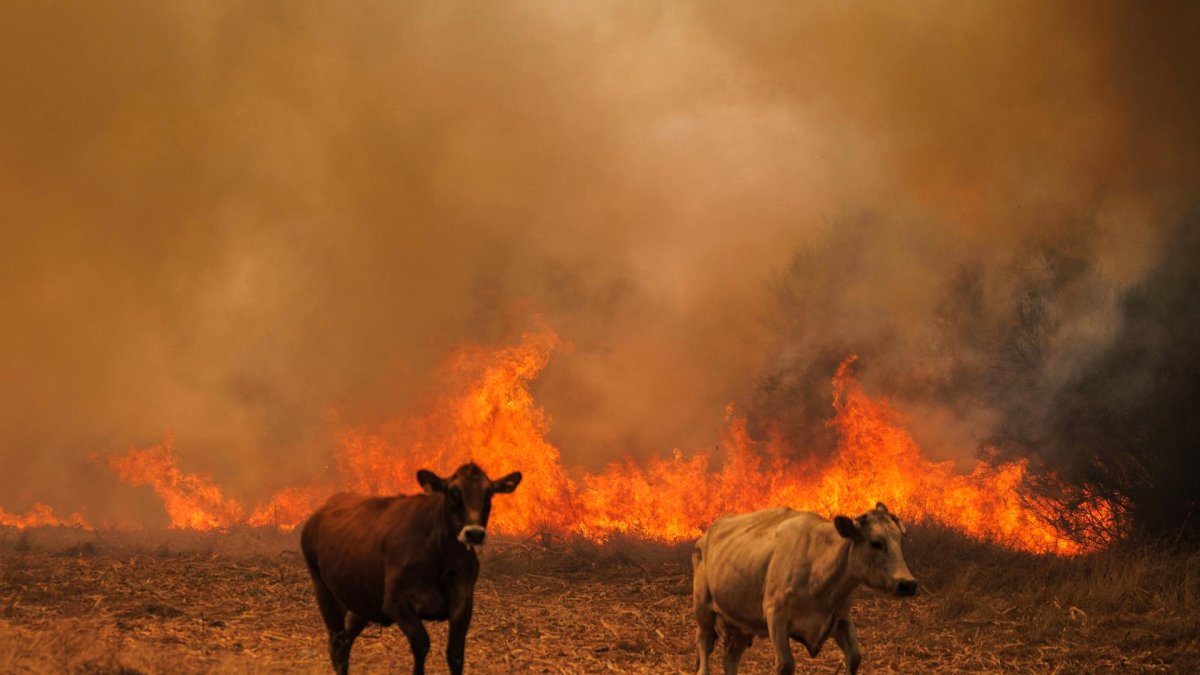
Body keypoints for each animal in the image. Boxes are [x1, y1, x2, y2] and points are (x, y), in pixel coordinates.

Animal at [300, 463, 522, 675]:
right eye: (453, 493)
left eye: (490, 493)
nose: (474, 533)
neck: (442, 561)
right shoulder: (396, 602)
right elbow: (422, 644)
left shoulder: (463, 601)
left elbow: (455, 654)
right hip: (325, 591)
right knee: (337, 642)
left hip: (361, 600)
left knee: (345, 640)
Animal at [692, 502, 917, 675]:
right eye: (875, 543)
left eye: (900, 540)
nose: (908, 584)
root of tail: (706, 535)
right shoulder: (776, 617)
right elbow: (785, 664)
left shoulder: (841, 617)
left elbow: (854, 657)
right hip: (703, 609)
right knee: (703, 644)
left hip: (740, 622)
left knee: (730, 659)